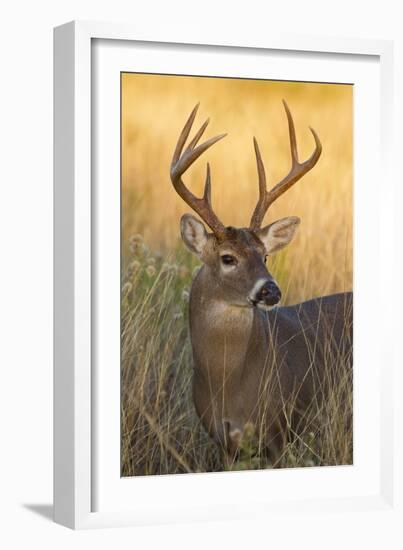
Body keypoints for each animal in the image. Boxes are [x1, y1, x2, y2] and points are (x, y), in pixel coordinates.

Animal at [169, 101, 352, 468]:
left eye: (265, 255)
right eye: (228, 258)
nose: (271, 290)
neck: (228, 385)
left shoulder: (279, 431)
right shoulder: (223, 442)